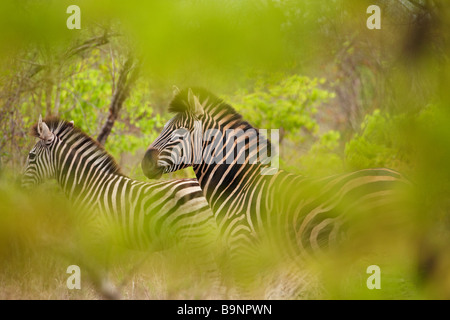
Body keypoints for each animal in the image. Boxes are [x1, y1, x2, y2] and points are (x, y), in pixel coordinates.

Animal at [22, 116, 220, 298]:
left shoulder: (96, 234)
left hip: (200, 238)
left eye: (31, 156)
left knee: (213, 279)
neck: (89, 185)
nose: (19, 184)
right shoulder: (105, 238)